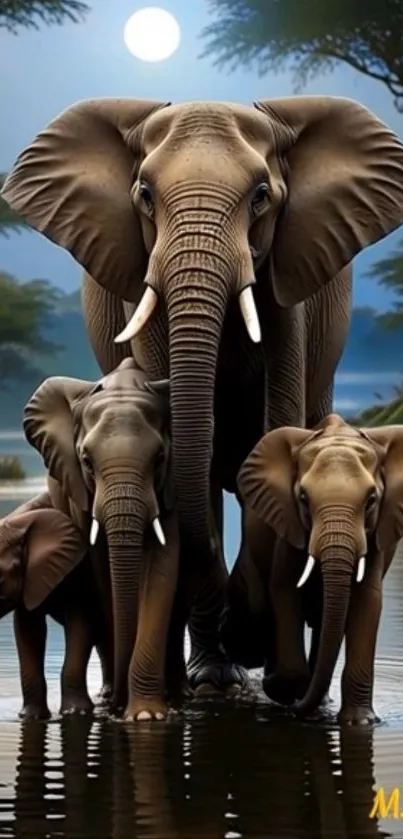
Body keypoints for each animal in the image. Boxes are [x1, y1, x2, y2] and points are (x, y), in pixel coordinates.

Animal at [0, 490, 111, 719]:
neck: (17, 524)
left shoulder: (80, 569)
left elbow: (80, 624)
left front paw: (76, 713)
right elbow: (28, 630)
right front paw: (31, 717)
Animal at [22, 357, 181, 720]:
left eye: (160, 459)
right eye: (86, 461)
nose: (119, 707)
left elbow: (162, 569)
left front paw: (145, 716)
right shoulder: (78, 492)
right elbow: (100, 572)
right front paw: (123, 709)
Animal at [229, 413, 403, 724]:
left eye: (371, 500)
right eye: (302, 499)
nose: (296, 710)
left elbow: (368, 600)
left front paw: (360, 721)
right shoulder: (288, 526)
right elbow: (284, 589)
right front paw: (284, 689)